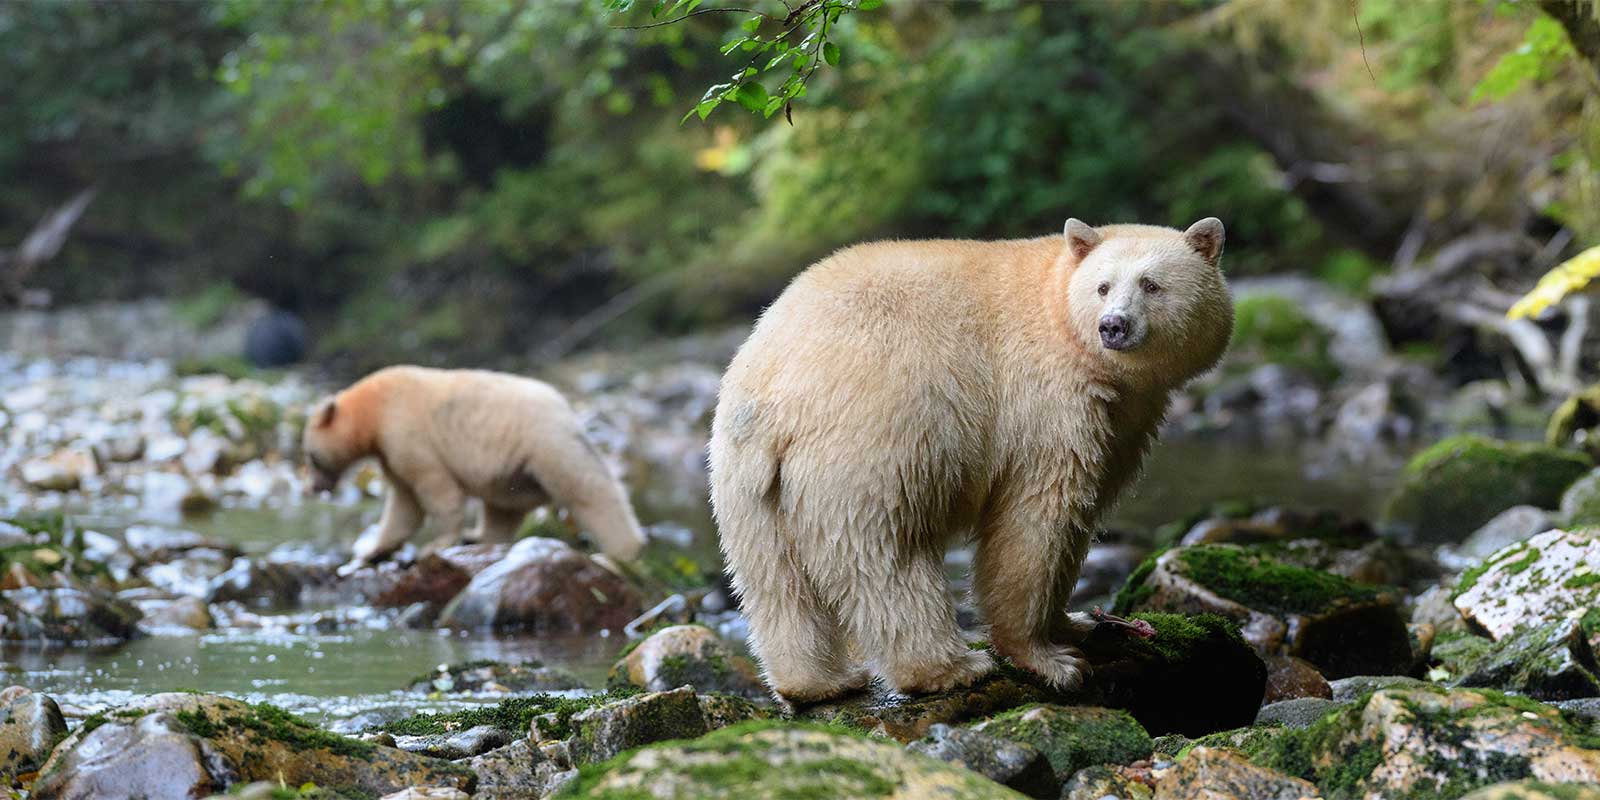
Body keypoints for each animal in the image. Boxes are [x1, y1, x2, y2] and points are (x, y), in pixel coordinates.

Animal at [302, 366, 647, 571]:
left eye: (310, 455)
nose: (313, 487)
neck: (375, 408)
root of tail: (566, 407)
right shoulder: (389, 452)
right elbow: (404, 504)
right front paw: (373, 551)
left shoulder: (405, 432)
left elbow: (433, 487)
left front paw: (437, 544)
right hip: (513, 470)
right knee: (503, 508)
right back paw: (480, 537)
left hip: (545, 441)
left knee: (588, 487)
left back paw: (624, 549)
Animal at [709, 217, 1232, 703]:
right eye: (1103, 286)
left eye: (1152, 284)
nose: (1113, 326)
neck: (1061, 315)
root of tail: (773, 394)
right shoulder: (1045, 402)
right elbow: (1037, 521)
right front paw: (1051, 658)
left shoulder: (1121, 416)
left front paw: (1077, 622)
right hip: (873, 440)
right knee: (885, 555)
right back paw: (950, 667)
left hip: (747, 482)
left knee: (773, 578)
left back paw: (818, 682)